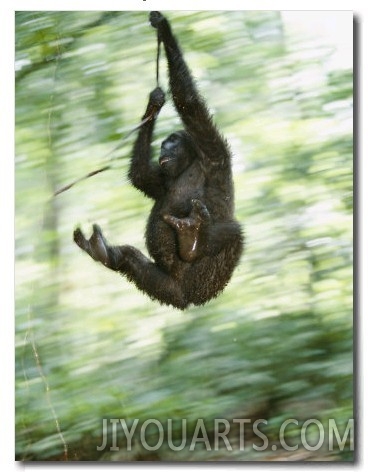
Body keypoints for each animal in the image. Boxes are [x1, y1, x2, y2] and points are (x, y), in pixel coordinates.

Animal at [74, 12, 243, 310]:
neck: (189, 165)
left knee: (233, 232)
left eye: (173, 140)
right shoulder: (161, 180)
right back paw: (106, 253)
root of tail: (188, 299)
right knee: (133, 261)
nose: (164, 145)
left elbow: (189, 103)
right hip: (163, 287)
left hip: (208, 278)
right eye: (165, 142)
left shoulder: (212, 148)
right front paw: (153, 106)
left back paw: (192, 243)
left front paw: (164, 29)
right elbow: (141, 174)